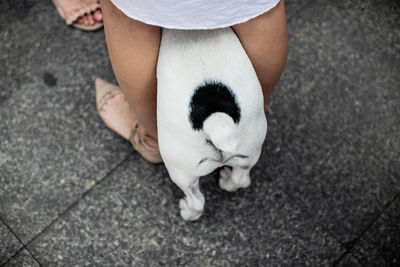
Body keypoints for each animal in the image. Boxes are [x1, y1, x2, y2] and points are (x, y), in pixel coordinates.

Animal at [158, 28, 268, 222]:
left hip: (180, 171)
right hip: (249, 153)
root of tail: (215, 119)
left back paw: (189, 212)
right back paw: (227, 181)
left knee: (197, 201)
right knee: (242, 179)